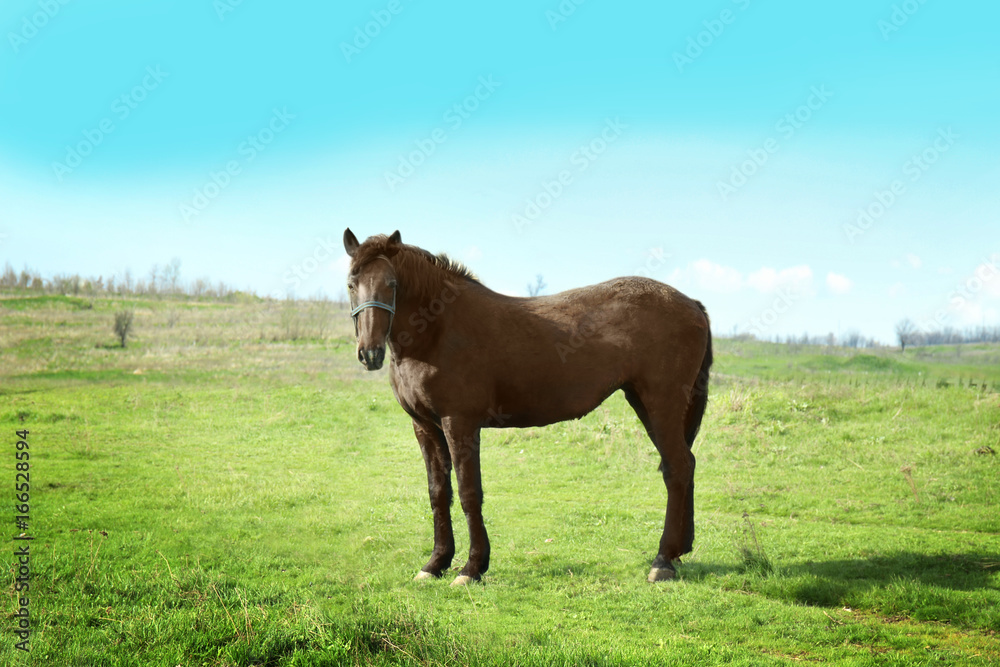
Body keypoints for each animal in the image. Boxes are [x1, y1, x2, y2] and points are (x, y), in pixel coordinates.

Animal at [343, 229, 712, 585]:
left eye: (391, 284)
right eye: (351, 283)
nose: (370, 353)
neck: (439, 329)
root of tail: (692, 304)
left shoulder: (459, 424)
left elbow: (468, 492)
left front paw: (471, 568)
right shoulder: (425, 426)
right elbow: (438, 494)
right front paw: (435, 564)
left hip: (662, 403)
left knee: (678, 468)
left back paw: (662, 561)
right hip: (645, 403)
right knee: (684, 465)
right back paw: (679, 551)